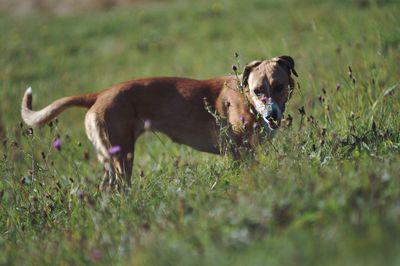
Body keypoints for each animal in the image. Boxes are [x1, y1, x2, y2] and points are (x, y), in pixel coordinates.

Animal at [21, 55, 296, 189]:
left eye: (279, 86)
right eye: (258, 90)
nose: (272, 115)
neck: (246, 98)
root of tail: (99, 95)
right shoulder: (241, 152)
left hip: (109, 158)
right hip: (122, 157)